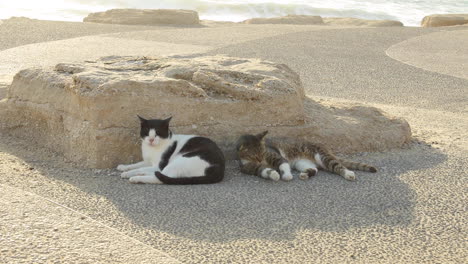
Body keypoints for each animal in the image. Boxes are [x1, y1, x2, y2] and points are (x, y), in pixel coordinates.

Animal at [238, 130, 376, 182]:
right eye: (254, 156)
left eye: (262, 152)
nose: (261, 159)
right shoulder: (249, 167)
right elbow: (263, 170)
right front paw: (274, 174)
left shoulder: (275, 155)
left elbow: (283, 164)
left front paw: (286, 175)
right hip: (301, 163)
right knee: (314, 169)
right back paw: (306, 174)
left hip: (321, 156)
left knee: (338, 165)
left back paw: (348, 173)